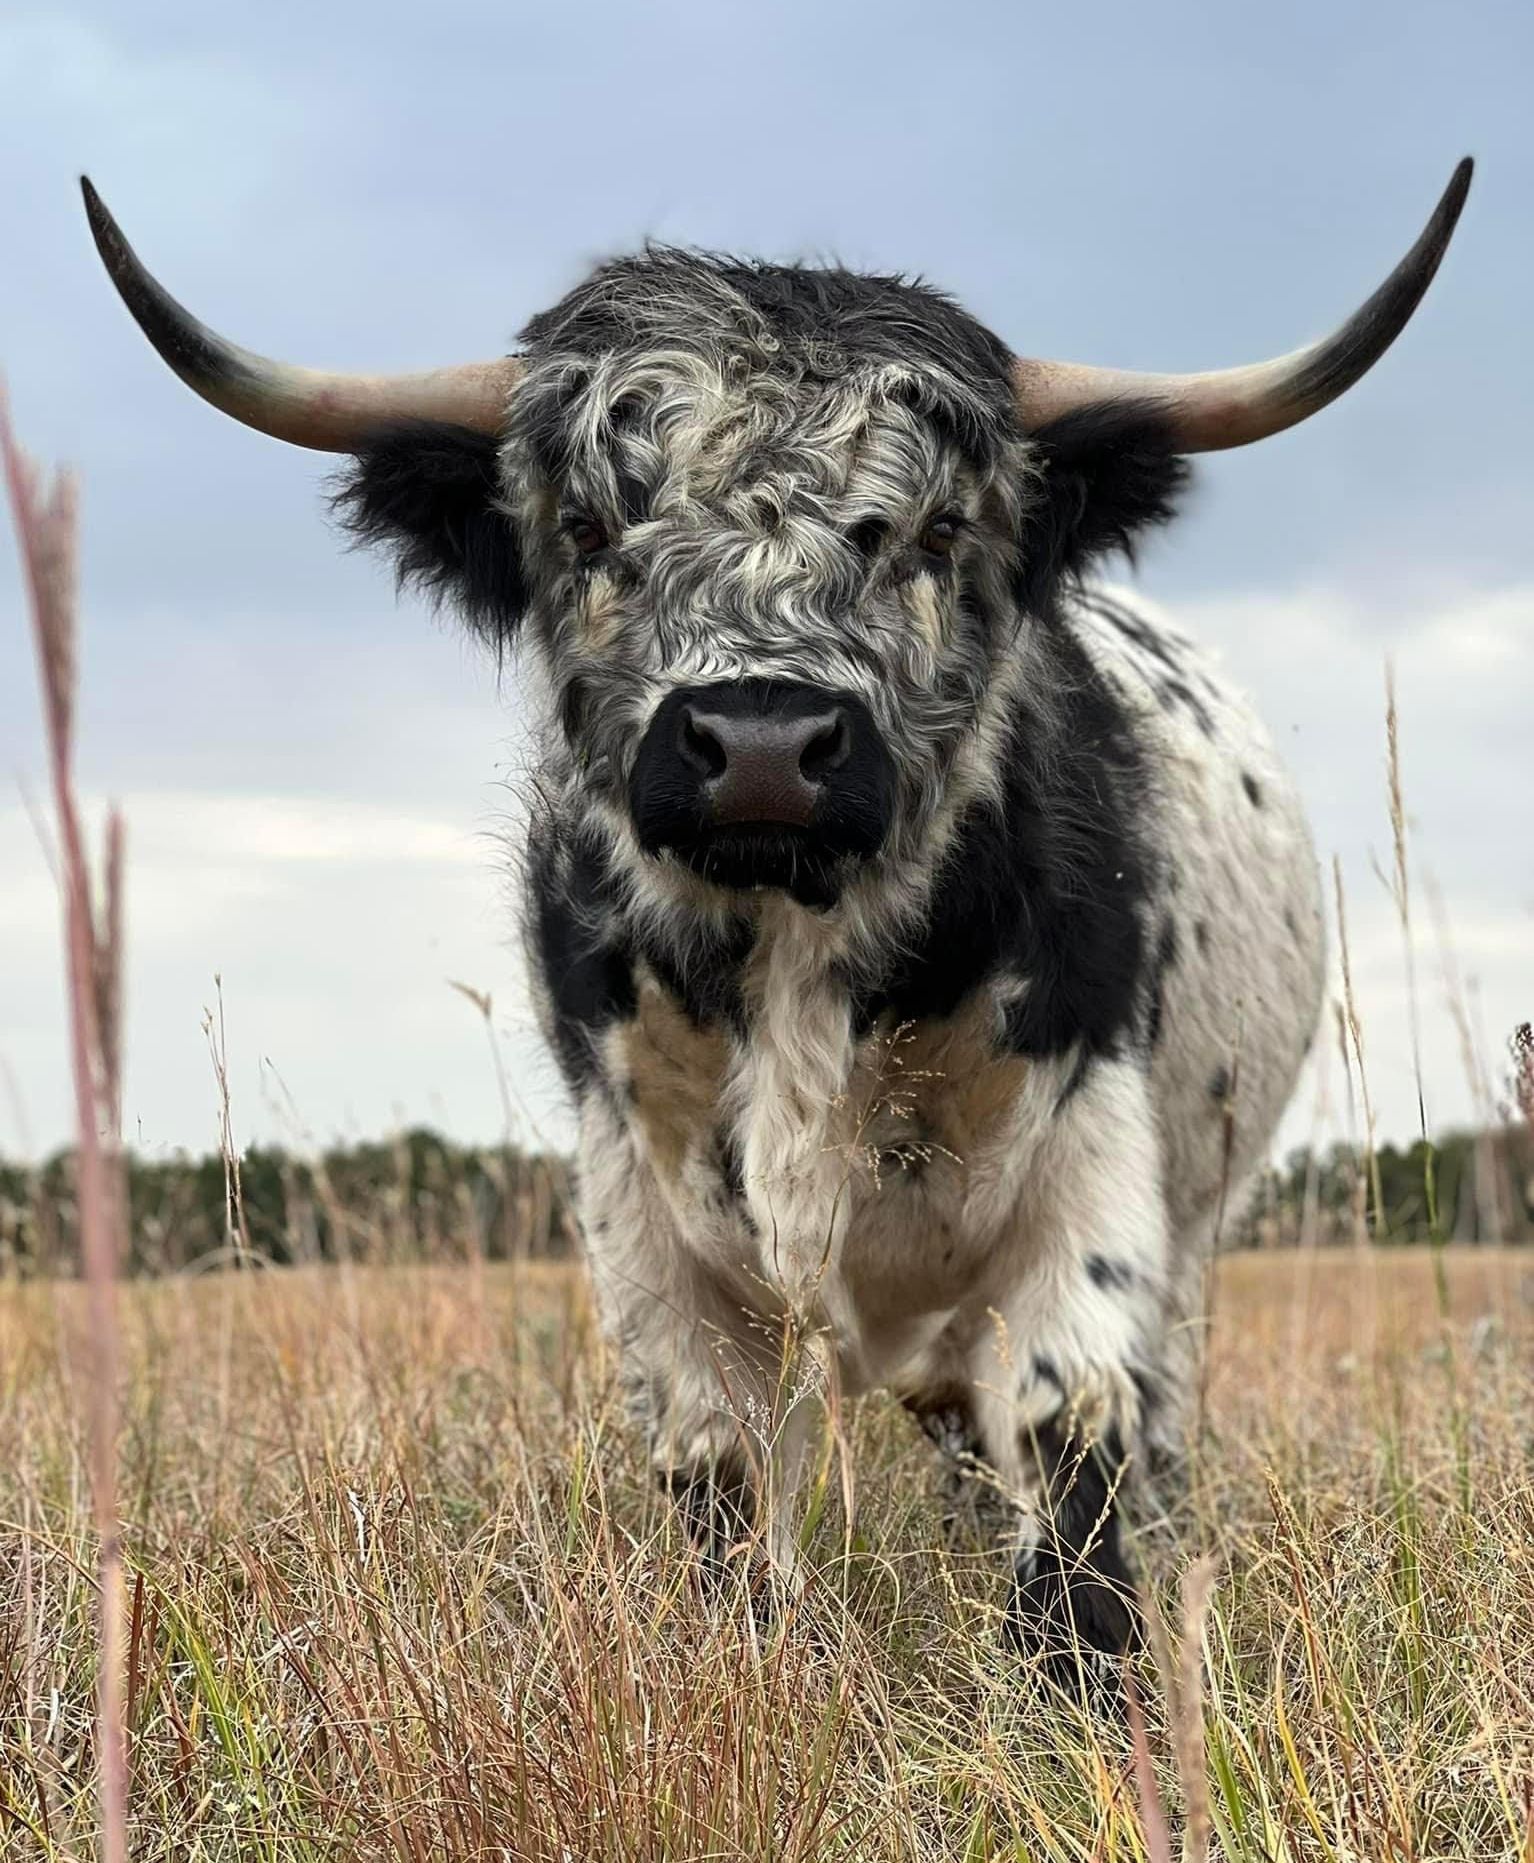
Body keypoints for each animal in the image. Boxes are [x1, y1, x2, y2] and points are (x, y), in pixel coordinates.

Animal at [84, 160, 1471, 1680]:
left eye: (937, 528)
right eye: (588, 525)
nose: (759, 742)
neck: (797, 962)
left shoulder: (1090, 1168)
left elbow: (1067, 1434)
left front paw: (1081, 1690)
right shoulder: (641, 1215)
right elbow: (722, 1467)